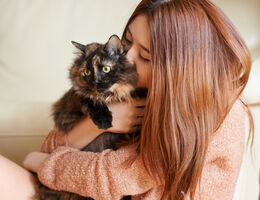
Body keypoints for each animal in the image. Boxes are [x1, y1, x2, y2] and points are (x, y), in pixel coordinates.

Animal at [37, 35, 146, 199]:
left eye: (106, 69)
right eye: (87, 72)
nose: (95, 82)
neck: (109, 95)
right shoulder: (78, 98)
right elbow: (91, 101)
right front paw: (104, 122)